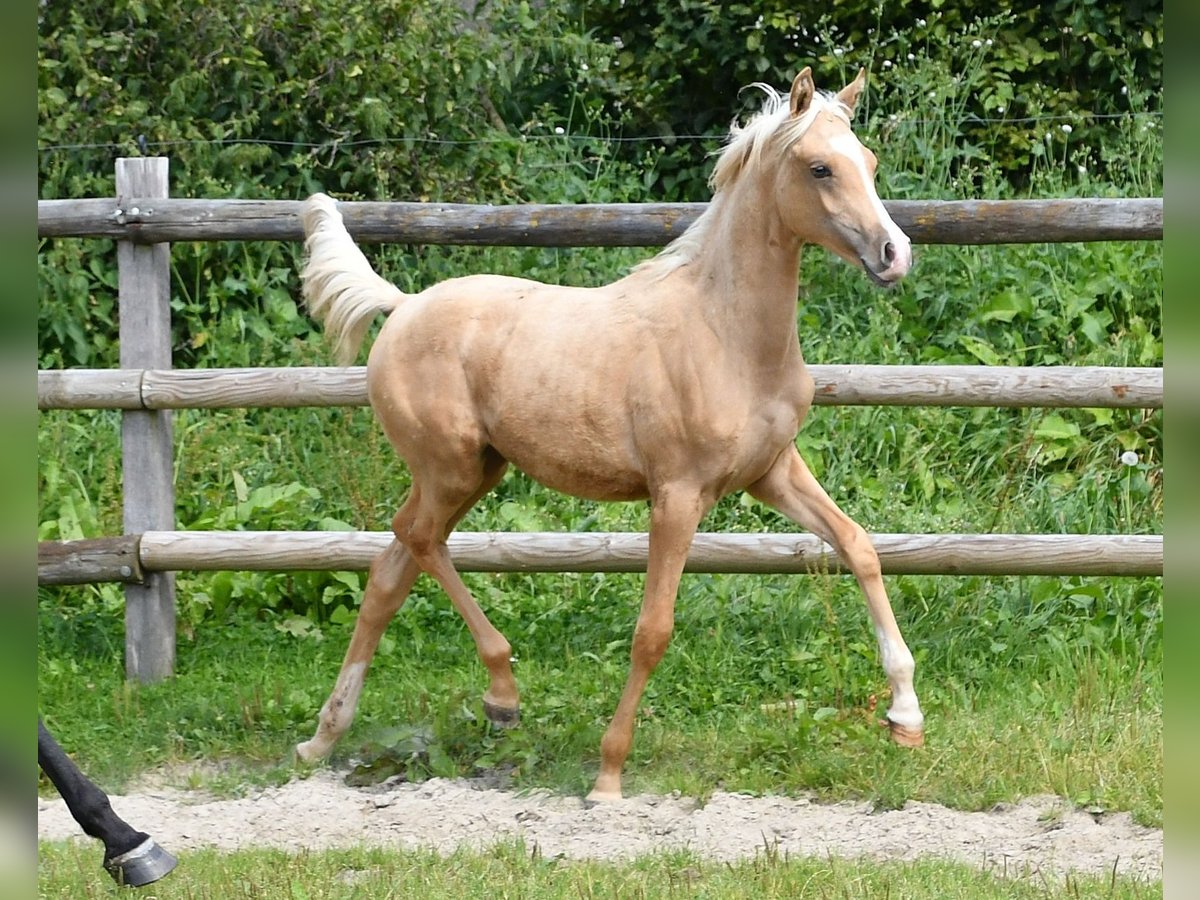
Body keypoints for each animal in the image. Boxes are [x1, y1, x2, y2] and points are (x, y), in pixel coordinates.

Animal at [295, 68, 921, 801]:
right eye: (820, 168)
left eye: (869, 164)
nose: (894, 254)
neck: (726, 335)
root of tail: (401, 306)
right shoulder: (677, 495)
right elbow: (653, 629)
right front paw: (608, 774)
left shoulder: (772, 472)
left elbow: (860, 547)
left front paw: (905, 716)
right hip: (451, 469)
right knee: (417, 542)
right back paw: (499, 694)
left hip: (475, 471)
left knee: (390, 570)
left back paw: (325, 736)